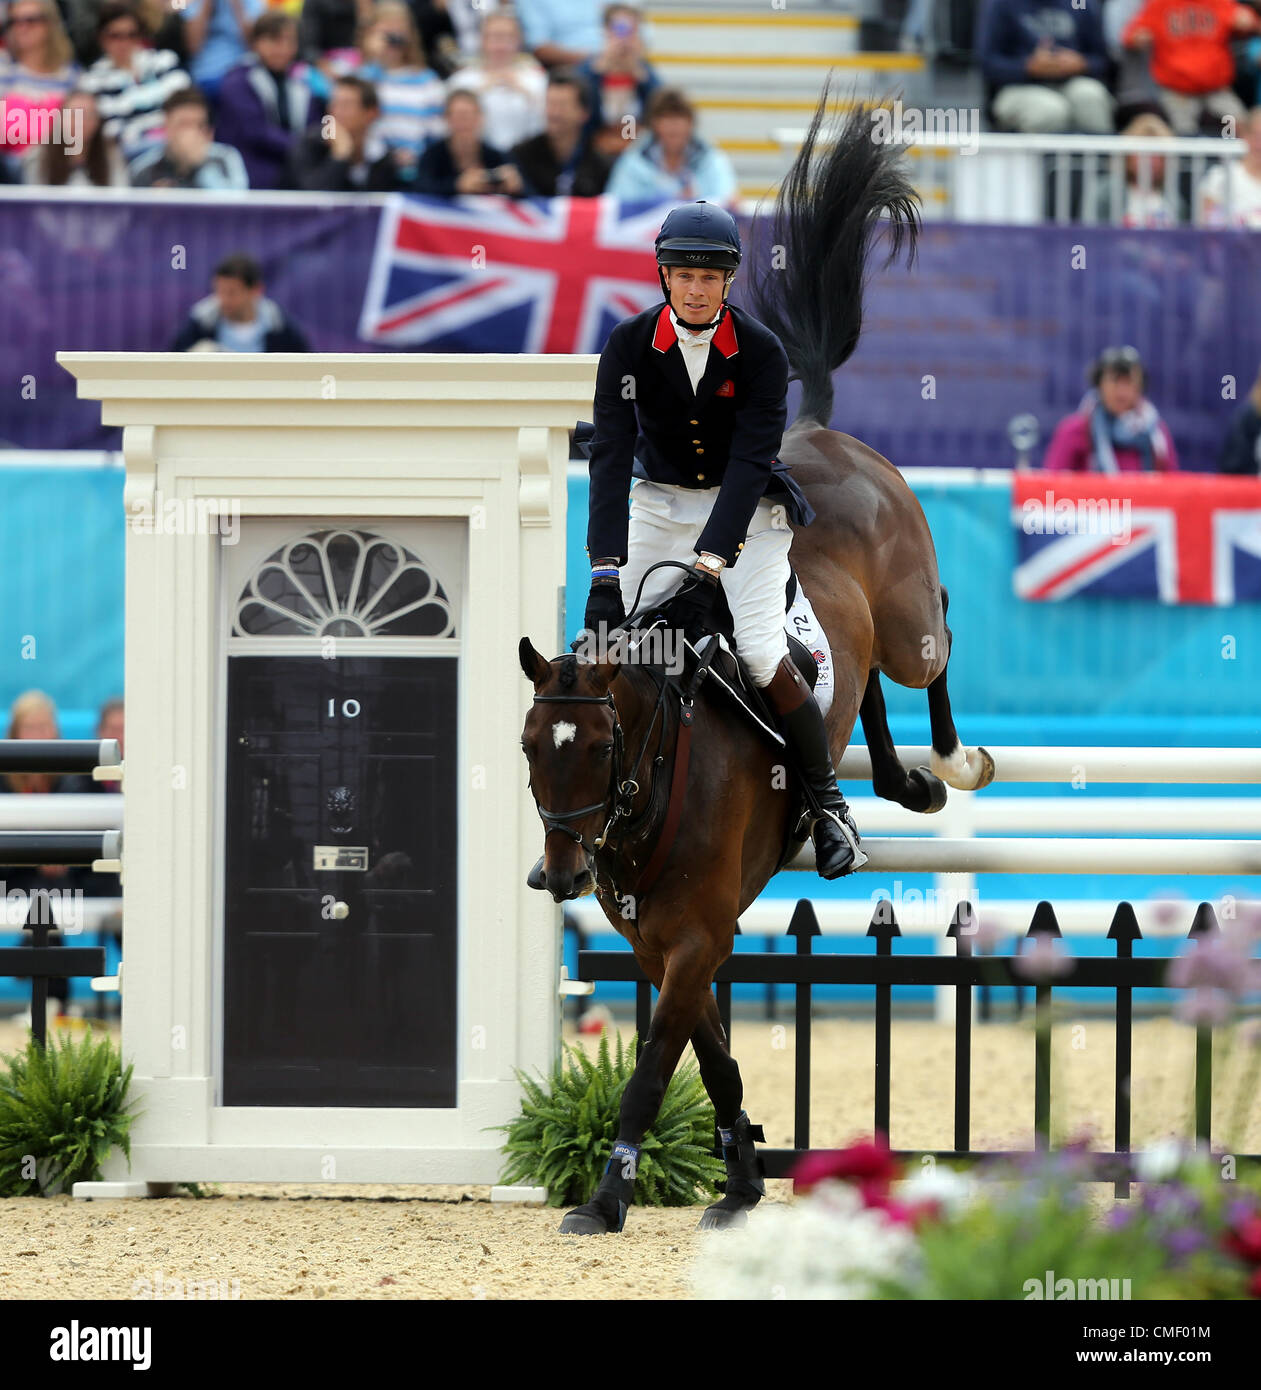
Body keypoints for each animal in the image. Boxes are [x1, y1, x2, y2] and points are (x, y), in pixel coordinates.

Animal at [517, 89, 989, 1239]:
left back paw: (949, 765)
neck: (652, 784)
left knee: (925, 647)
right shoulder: (665, 940)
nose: (558, 874)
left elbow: (654, 1066)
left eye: (597, 748)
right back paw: (895, 785)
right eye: (529, 749)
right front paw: (735, 1175)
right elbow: (714, 1057)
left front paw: (608, 1193)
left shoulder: (692, 937)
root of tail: (816, 427)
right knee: (843, 688)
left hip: (903, 610)